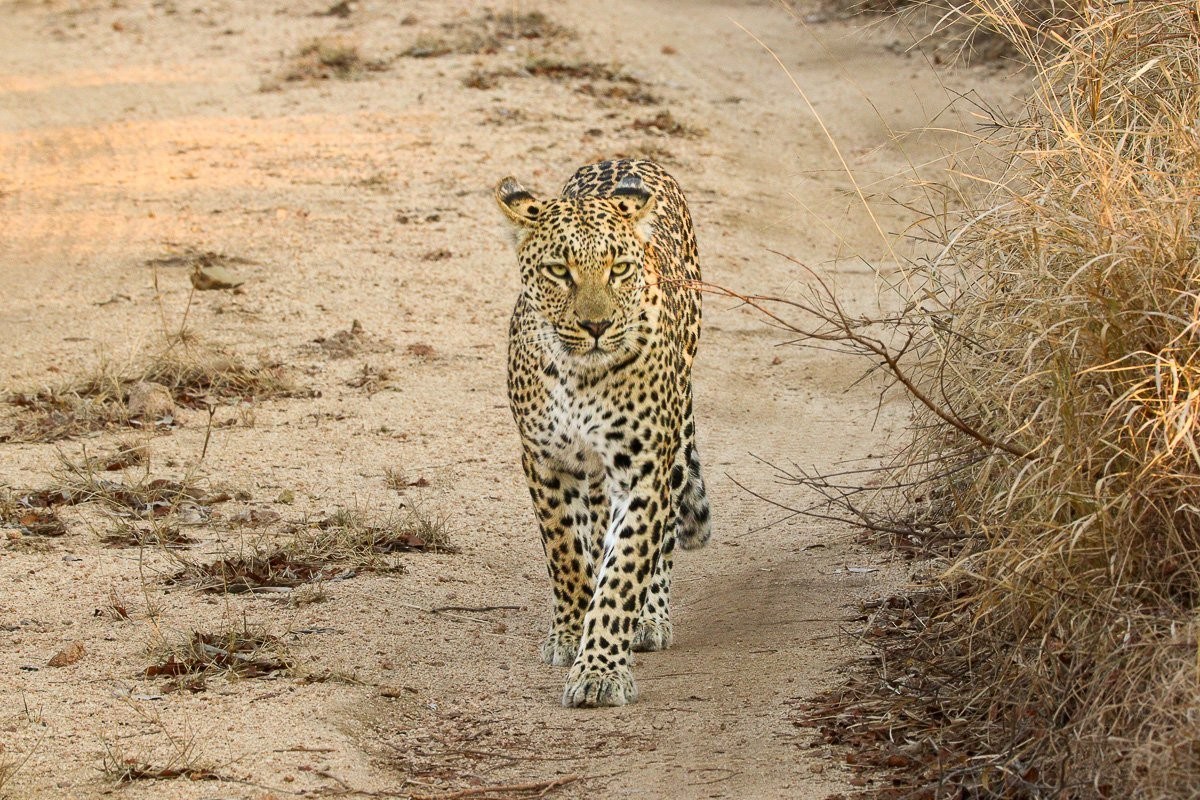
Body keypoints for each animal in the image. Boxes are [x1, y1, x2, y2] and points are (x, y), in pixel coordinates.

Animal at [495, 159, 711, 707]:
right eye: (558, 271)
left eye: (619, 269)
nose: (596, 325)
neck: (579, 375)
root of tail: (629, 157)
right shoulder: (546, 462)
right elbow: (566, 554)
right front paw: (570, 633)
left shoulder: (643, 470)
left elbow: (626, 569)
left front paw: (600, 671)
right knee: (593, 525)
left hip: (673, 437)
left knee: (662, 536)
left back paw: (651, 618)